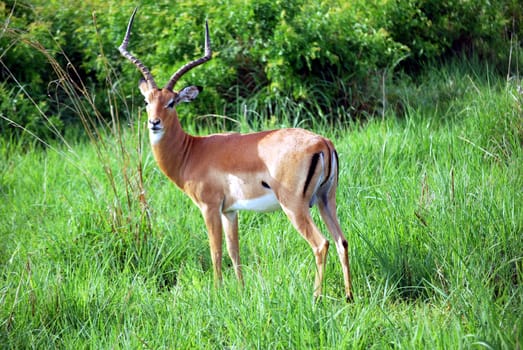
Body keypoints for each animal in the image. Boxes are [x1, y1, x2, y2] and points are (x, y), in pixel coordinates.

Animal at [118, 8, 354, 304]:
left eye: (172, 102)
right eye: (147, 101)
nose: (154, 123)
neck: (191, 151)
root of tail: (323, 142)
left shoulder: (209, 207)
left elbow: (216, 251)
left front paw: (217, 293)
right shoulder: (230, 211)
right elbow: (234, 250)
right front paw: (240, 292)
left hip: (295, 206)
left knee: (321, 244)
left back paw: (316, 298)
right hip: (325, 200)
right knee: (342, 241)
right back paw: (349, 296)